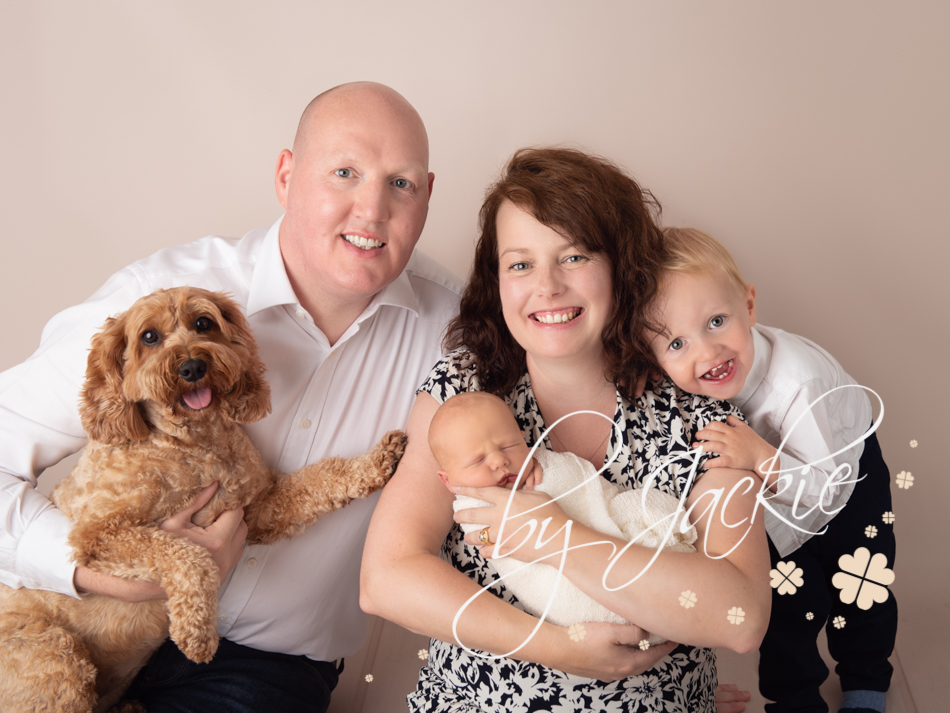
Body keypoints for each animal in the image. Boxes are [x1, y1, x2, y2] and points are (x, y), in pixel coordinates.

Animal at [0, 288, 406, 712]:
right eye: (149, 337)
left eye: (203, 323)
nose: (192, 366)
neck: (192, 443)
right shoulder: (99, 534)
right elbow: (187, 555)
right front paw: (197, 633)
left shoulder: (256, 509)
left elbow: (319, 478)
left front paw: (375, 461)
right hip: (56, 657)